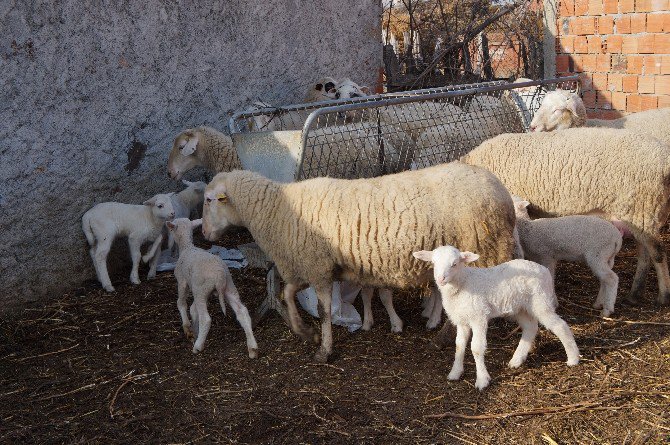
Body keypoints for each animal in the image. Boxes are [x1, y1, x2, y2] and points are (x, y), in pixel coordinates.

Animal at [168, 218, 260, 358]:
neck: (187, 247)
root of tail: (219, 274)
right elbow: (193, 309)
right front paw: (195, 330)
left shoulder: (182, 281)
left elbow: (182, 303)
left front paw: (188, 328)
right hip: (229, 286)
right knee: (242, 312)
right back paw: (252, 348)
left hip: (201, 290)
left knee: (206, 319)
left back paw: (198, 346)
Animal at [200, 163, 516, 360]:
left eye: (208, 200)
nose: (203, 233)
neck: (277, 210)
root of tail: (500, 190)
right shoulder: (308, 266)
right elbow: (286, 294)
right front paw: (305, 333)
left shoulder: (318, 267)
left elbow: (323, 311)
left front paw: (324, 350)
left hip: (479, 252)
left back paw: (442, 339)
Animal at [412, 245, 580, 390]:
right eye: (433, 263)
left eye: (454, 264)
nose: (441, 279)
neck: (463, 283)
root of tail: (544, 270)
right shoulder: (462, 320)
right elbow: (459, 345)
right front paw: (455, 373)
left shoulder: (478, 317)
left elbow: (476, 348)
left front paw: (482, 380)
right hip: (521, 307)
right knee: (530, 328)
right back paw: (516, 360)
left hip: (540, 301)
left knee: (560, 325)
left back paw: (573, 358)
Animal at [464, 126, 670, 304]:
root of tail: (665, 159)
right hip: (643, 213)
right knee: (645, 254)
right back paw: (635, 294)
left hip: (643, 208)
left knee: (658, 254)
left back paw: (663, 295)